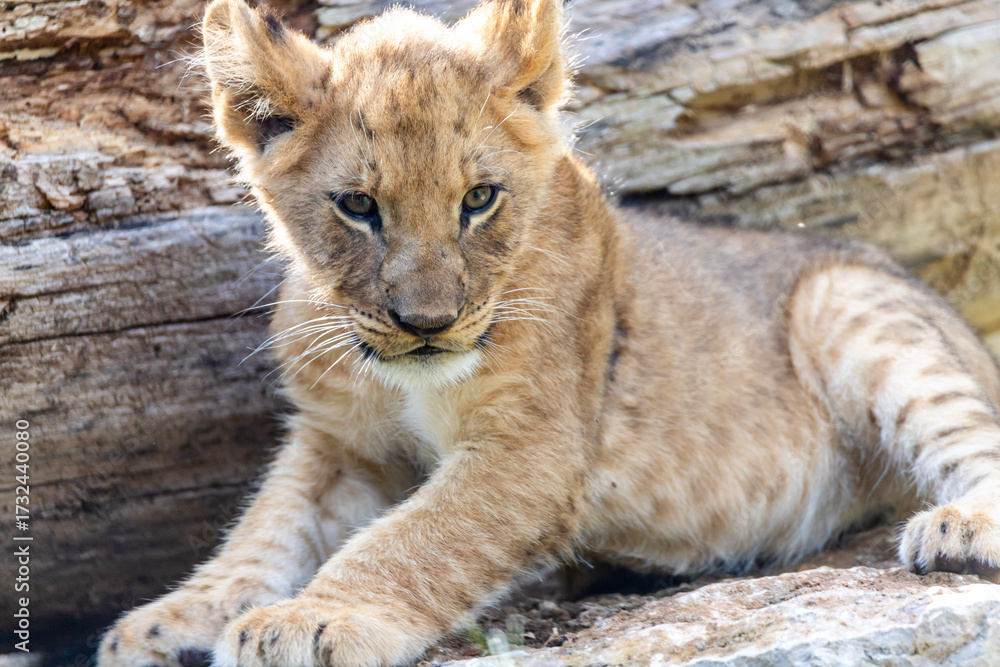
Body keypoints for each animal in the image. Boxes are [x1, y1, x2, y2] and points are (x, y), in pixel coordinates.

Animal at [98, 0, 1000, 665]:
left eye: (478, 198)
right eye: (358, 206)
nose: (427, 324)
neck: (401, 377)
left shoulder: (531, 449)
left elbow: (410, 539)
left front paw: (311, 621)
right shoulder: (341, 441)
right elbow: (266, 529)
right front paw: (173, 619)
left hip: (846, 302)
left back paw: (960, 528)